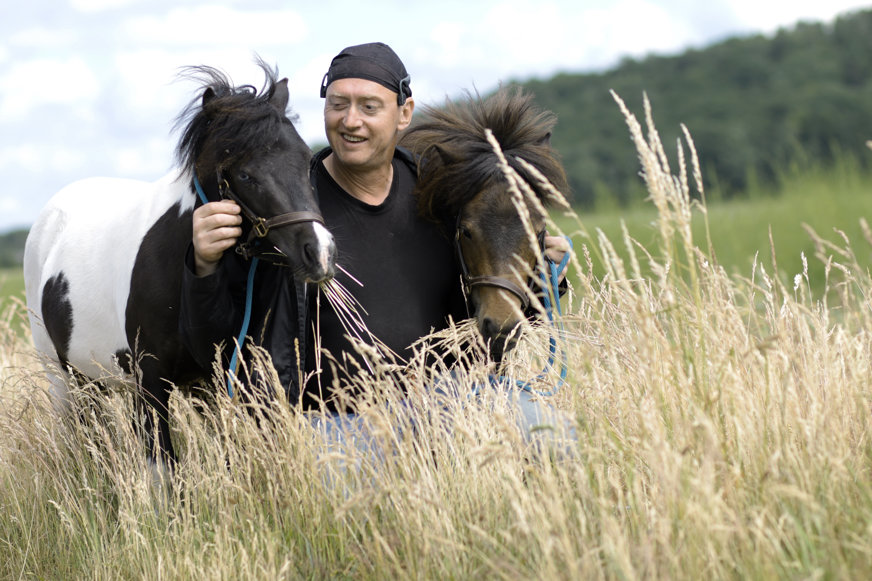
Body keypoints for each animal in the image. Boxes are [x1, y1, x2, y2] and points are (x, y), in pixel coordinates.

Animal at [23, 60, 338, 466]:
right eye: (245, 174)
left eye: (304, 161)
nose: (320, 252)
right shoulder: (151, 382)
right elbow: (162, 466)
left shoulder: (222, 376)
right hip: (63, 376)